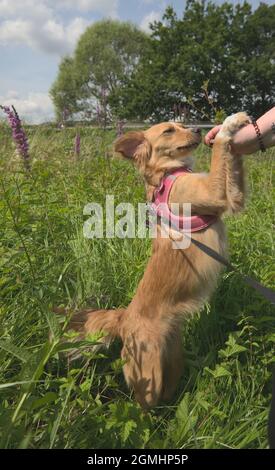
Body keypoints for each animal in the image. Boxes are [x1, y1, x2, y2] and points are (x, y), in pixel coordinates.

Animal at [69, 113, 250, 408]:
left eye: (183, 125)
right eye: (168, 131)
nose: (198, 130)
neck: (167, 175)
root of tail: (124, 318)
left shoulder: (231, 198)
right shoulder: (212, 193)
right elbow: (220, 154)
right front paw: (229, 124)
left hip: (172, 363)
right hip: (148, 377)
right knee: (141, 407)